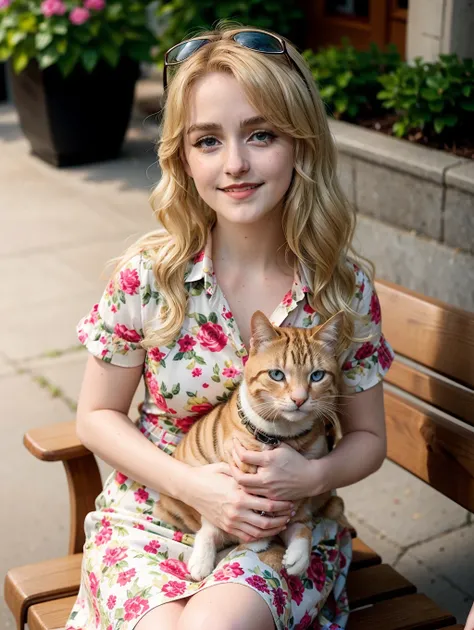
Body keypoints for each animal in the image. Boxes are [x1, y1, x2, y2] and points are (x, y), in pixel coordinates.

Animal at [156, 312, 344, 584]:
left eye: (317, 376)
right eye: (277, 375)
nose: (299, 399)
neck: (284, 436)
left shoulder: (302, 481)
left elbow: (297, 519)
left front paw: (296, 551)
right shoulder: (242, 470)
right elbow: (253, 514)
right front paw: (257, 541)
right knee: (208, 528)